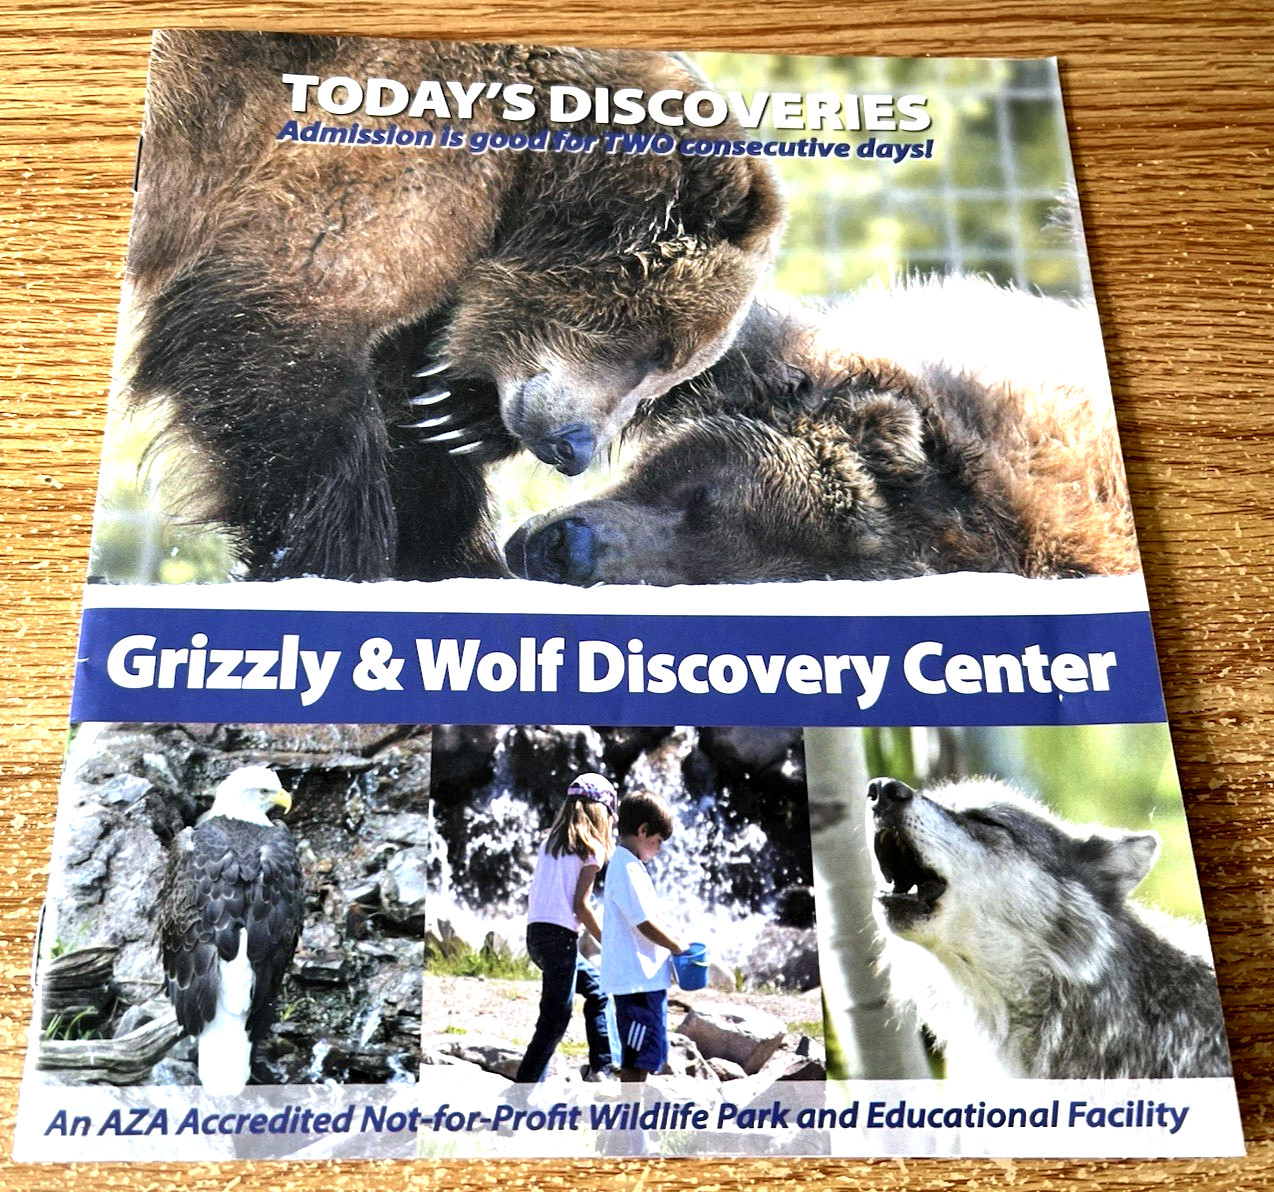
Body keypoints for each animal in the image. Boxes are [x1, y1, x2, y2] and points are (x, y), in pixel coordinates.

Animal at [124, 31, 783, 580]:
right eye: (657, 348)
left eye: (667, 378)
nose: (574, 450)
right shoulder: (393, 157)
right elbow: (292, 336)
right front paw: (330, 560)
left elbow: (410, 414)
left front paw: (455, 431)